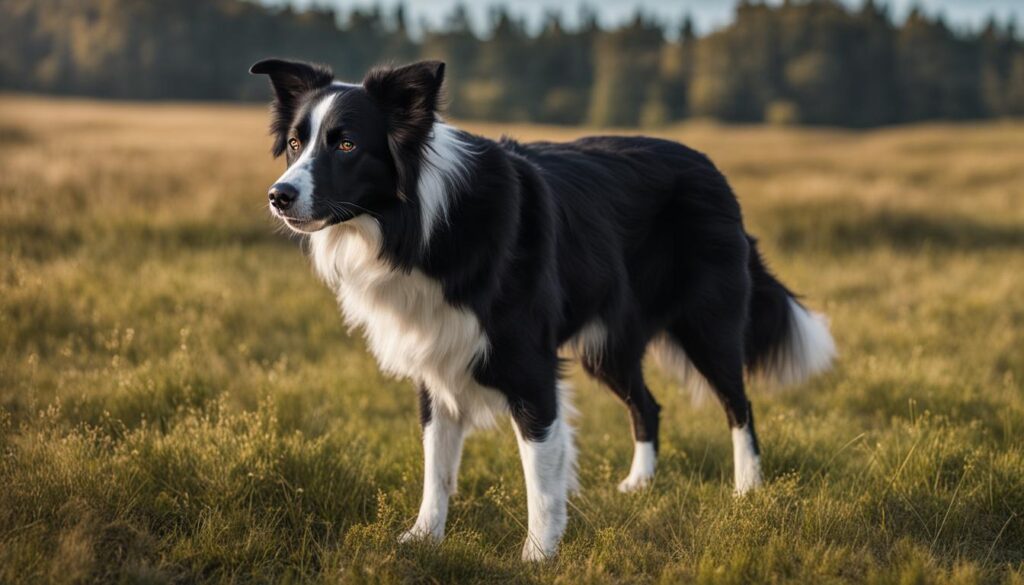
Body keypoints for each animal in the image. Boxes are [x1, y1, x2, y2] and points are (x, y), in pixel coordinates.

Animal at [251, 57, 835, 561]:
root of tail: (712, 170)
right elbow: (436, 466)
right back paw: (639, 484)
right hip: (609, 345)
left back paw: (747, 491)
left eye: (347, 144)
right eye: (296, 143)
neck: (419, 226)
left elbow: (541, 474)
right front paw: (424, 539)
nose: (278, 196)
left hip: (707, 325)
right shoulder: (434, 361)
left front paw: (538, 555)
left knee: (739, 405)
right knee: (647, 405)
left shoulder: (530, 368)